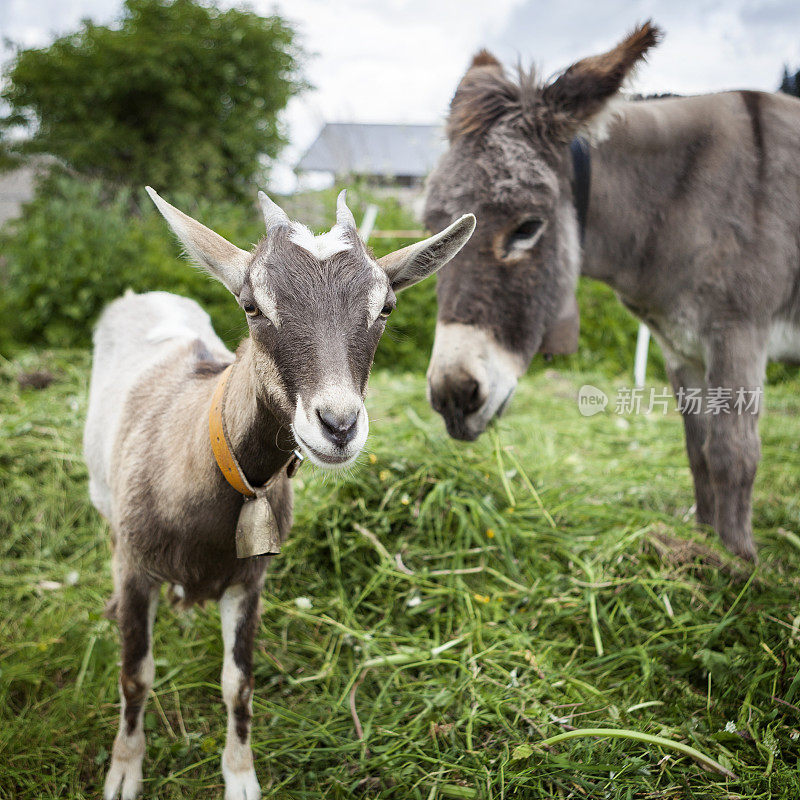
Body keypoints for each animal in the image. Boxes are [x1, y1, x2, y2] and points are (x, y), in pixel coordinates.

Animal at [84, 189, 476, 800]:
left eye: (385, 307)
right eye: (252, 305)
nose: (338, 425)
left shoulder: (249, 580)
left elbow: (238, 682)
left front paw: (241, 775)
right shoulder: (135, 568)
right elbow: (135, 674)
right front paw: (125, 769)